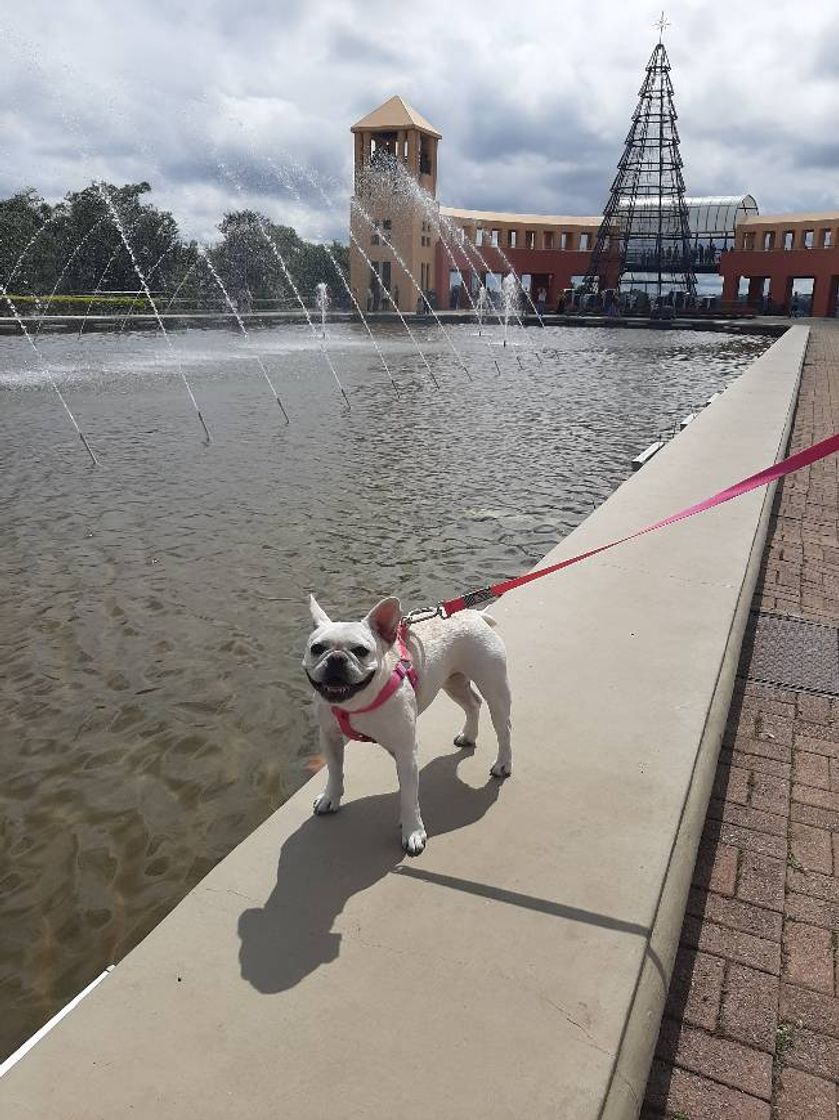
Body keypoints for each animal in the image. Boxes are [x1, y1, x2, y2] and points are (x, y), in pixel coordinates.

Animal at [300, 600, 510, 851]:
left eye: (361, 650)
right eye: (317, 648)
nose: (337, 658)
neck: (356, 703)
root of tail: (476, 615)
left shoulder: (405, 751)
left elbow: (409, 797)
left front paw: (413, 831)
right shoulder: (329, 736)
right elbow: (334, 770)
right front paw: (330, 797)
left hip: (494, 690)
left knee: (503, 728)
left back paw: (503, 763)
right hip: (453, 683)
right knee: (473, 704)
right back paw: (468, 734)